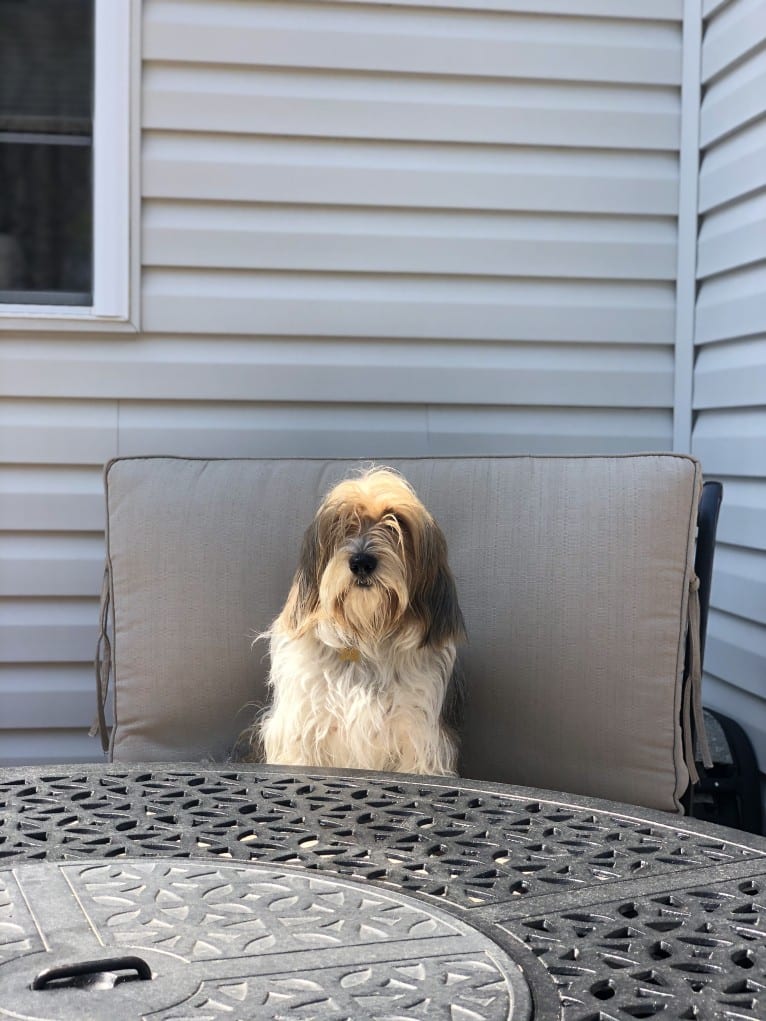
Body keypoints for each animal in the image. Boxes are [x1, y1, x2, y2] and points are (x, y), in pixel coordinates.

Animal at [252, 467, 467, 771]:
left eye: (396, 523)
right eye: (342, 523)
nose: (362, 562)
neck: (366, 637)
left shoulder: (418, 740)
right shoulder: (301, 731)